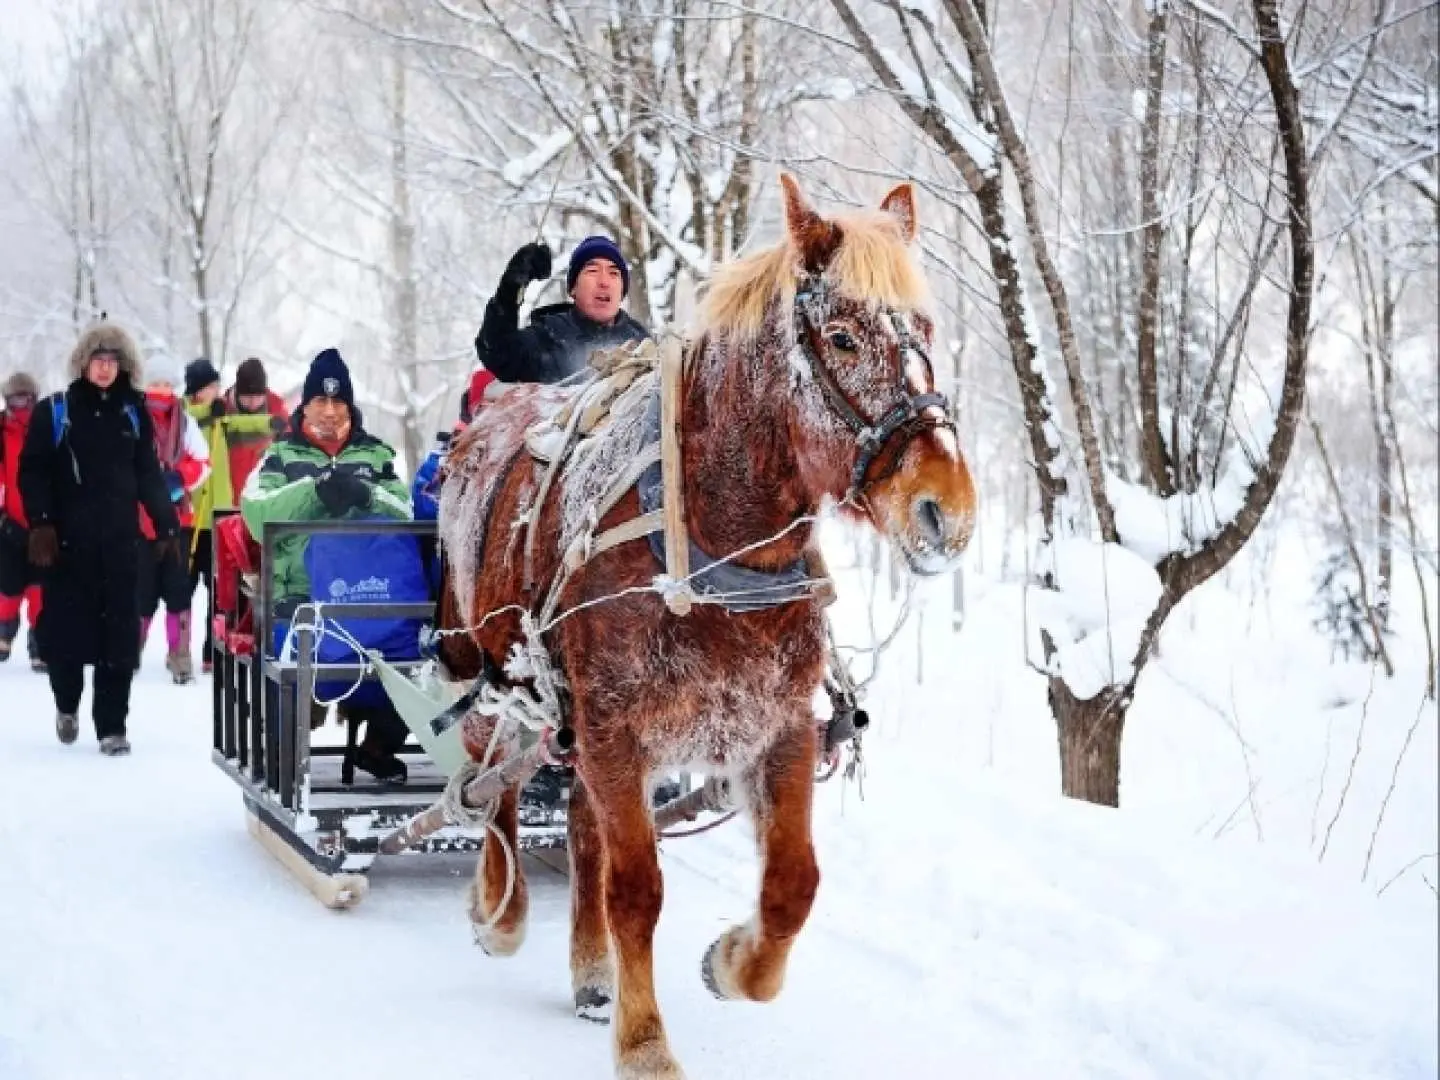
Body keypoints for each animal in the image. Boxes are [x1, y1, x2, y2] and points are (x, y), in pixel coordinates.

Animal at [434, 174, 976, 1080]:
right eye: (840, 336)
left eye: (926, 331)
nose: (950, 510)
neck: (710, 549)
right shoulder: (616, 727)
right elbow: (637, 889)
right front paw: (646, 1043)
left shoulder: (775, 725)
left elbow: (793, 884)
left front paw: (731, 963)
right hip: (493, 664)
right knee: (490, 779)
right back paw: (499, 910)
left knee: (577, 819)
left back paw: (590, 971)